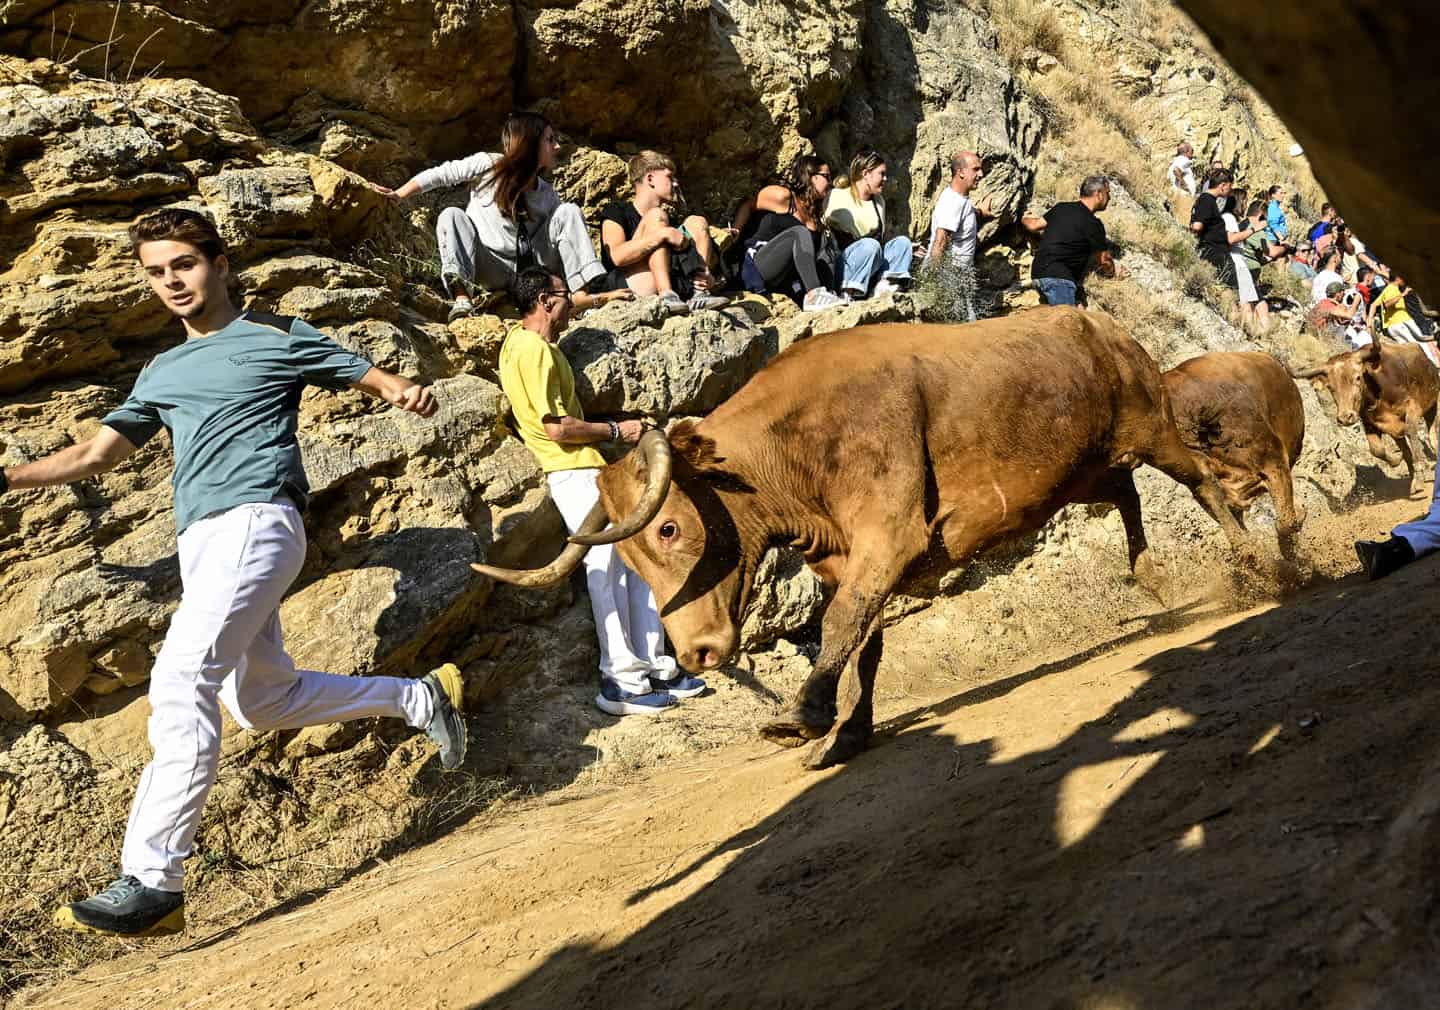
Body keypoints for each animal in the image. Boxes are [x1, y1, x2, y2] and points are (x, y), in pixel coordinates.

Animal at [474, 308, 1253, 770]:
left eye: (669, 526)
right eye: (631, 561)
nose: (697, 654)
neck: (787, 454)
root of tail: (1098, 320)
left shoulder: (891, 535)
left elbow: (844, 625)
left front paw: (803, 717)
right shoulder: (846, 558)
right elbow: (863, 642)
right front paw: (848, 732)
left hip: (1153, 428)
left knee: (1204, 484)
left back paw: (1255, 566)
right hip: (1082, 470)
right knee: (1126, 493)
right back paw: (1151, 576)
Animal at [1291, 340, 1439, 498]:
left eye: (1357, 377)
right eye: (1330, 386)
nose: (1345, 417)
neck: (1377, 393)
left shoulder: (1412, 407)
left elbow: (1411, 431)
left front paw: (1420, 473)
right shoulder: (1370, 423)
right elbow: (1376, 449)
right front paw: (1397, 461)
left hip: (1433, 405)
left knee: (1432, 435)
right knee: (1405, 448)